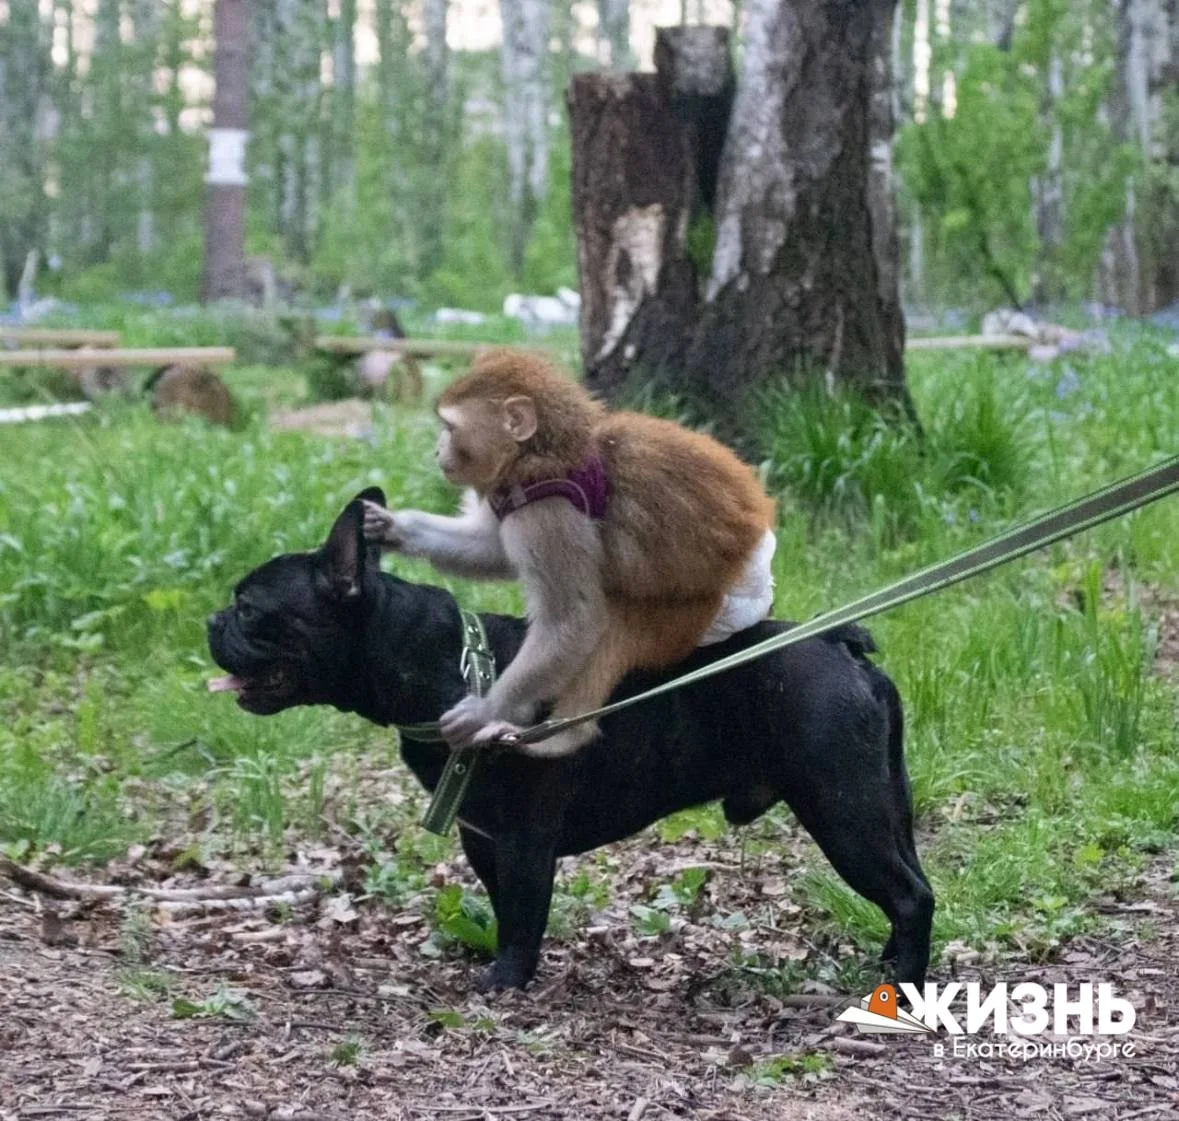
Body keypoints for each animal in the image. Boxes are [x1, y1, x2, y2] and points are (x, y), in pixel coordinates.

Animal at [363, 348, 777, 759]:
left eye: (449, 428)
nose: (437, 451)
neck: (539, 452)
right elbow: (492, 551)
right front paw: (394, 528)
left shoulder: (548, 514)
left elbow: (573, 618)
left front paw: (486, 711)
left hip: (695, 614)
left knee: (613, 623)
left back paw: (561, 737)